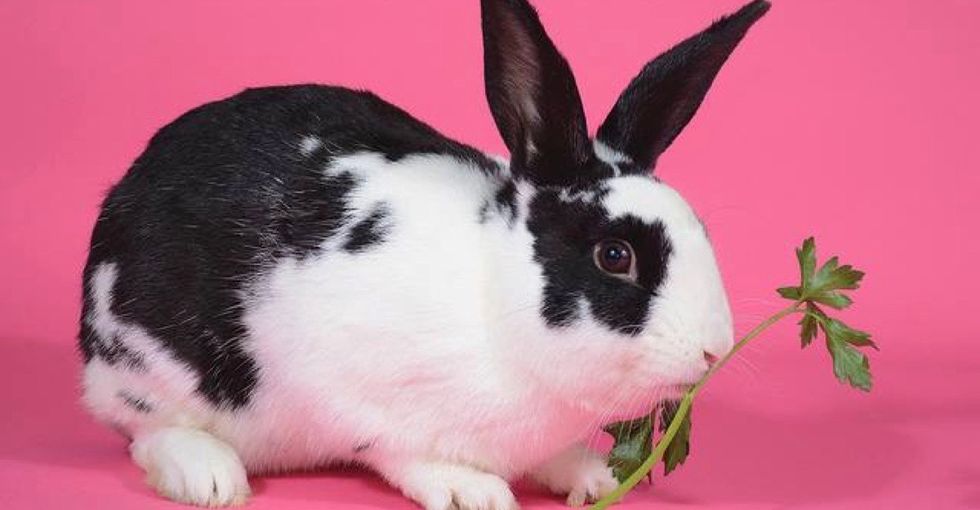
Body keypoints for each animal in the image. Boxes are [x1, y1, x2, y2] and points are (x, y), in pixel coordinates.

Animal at [78, 0, 769, 508]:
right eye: (615, 256)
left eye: (702, 230)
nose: (714, 351)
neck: (494, 304)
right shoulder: (358, 394)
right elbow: (405, 453)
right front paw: (476, 492)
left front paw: (591, 477)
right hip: (147, 366)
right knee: (144, 428)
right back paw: (210, 477)